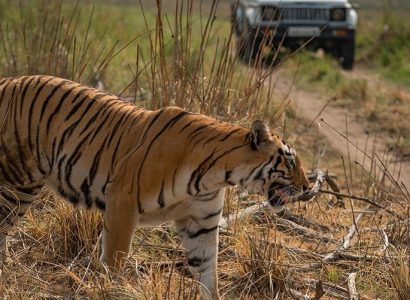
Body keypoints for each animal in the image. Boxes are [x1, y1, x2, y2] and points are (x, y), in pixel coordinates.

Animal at [0, 75, 308, 300]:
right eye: (291, 161)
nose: (307, 187)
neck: (219, 174)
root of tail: (9, 80)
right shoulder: (122, 202)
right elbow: (115, 257)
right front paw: (111, 290)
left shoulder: (201, 223)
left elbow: (208, 270)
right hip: (17, 181)